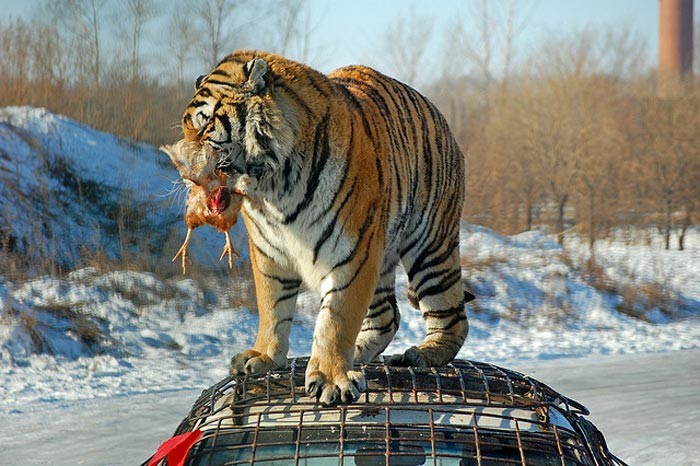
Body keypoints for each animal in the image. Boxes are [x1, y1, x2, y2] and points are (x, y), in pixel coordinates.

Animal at [176, 51, 470, 406]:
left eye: (205, 125)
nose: (185, 171)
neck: (273, 188)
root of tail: (440, 117)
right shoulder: (269, 253)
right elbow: (272, 309)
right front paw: (263, 356)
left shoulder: (352, 253)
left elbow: (336, 319)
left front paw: (331, 378)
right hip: (382, 257)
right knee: (387, 316)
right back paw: (358, 352)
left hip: (430, 248)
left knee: (452, 316)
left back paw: (423, 353)